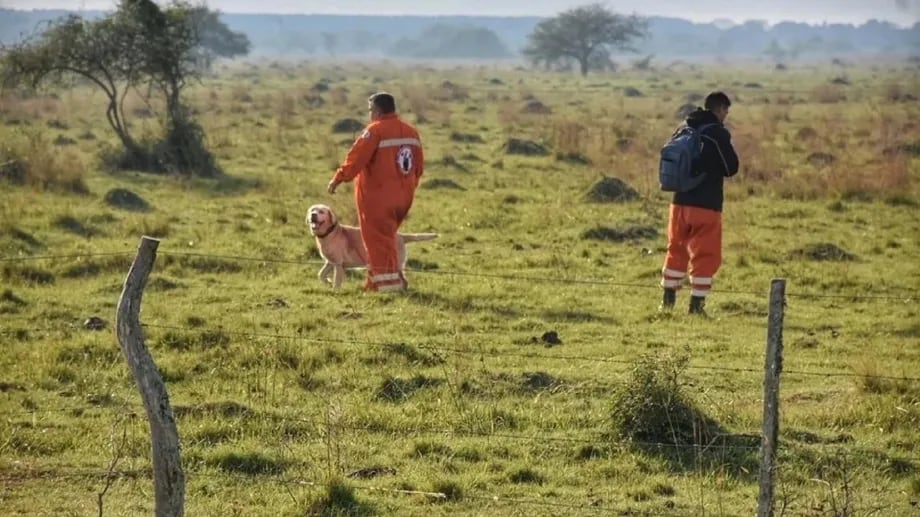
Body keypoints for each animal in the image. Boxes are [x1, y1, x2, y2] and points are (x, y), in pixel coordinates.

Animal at [310, 203, 438, 290]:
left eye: (321, 211)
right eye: (312, 210)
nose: (313, 215)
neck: (329, 233)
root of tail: (401, 235)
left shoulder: (338, 264)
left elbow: (337, 280)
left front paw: (335, 290)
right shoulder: (329, 262)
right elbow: (321, 274)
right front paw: (327, 282)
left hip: (393, 263)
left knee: (403, 280)